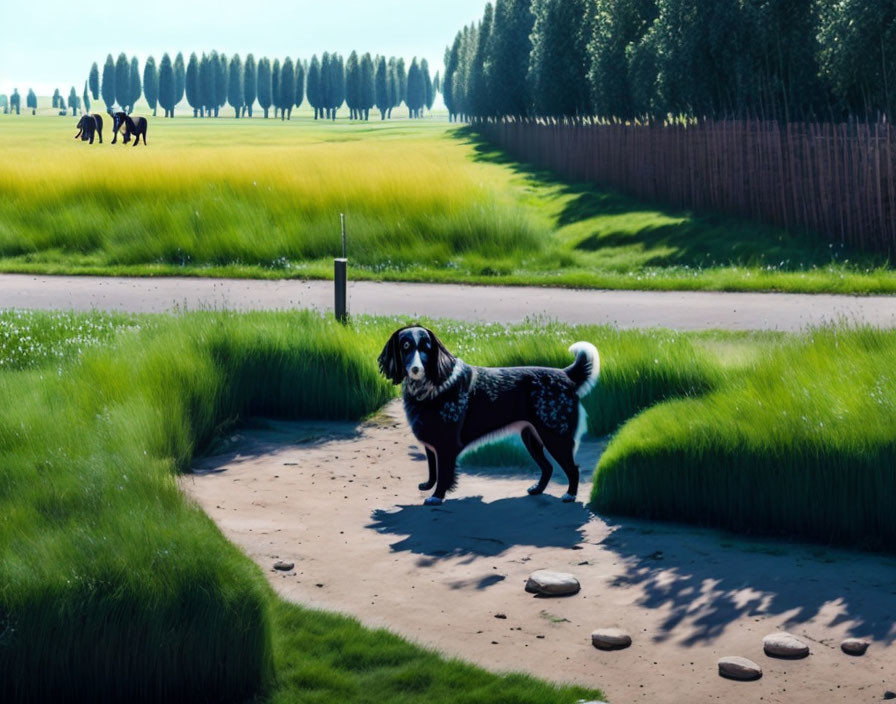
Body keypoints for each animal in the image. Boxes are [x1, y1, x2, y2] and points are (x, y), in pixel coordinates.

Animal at [376, 328, 596, 504]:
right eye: (405, 346)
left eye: (426, 348)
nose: (415, 369)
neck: (430, 388)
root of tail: (567, 375)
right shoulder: (431, 441)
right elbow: (433, 469)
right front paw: (428, 486)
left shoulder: (446, 445)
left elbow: (444, 474)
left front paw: (437, 497)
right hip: (531, 437)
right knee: (548, 467)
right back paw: (537, 490)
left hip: (555, 437)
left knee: (573, 468)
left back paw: (570, 495)